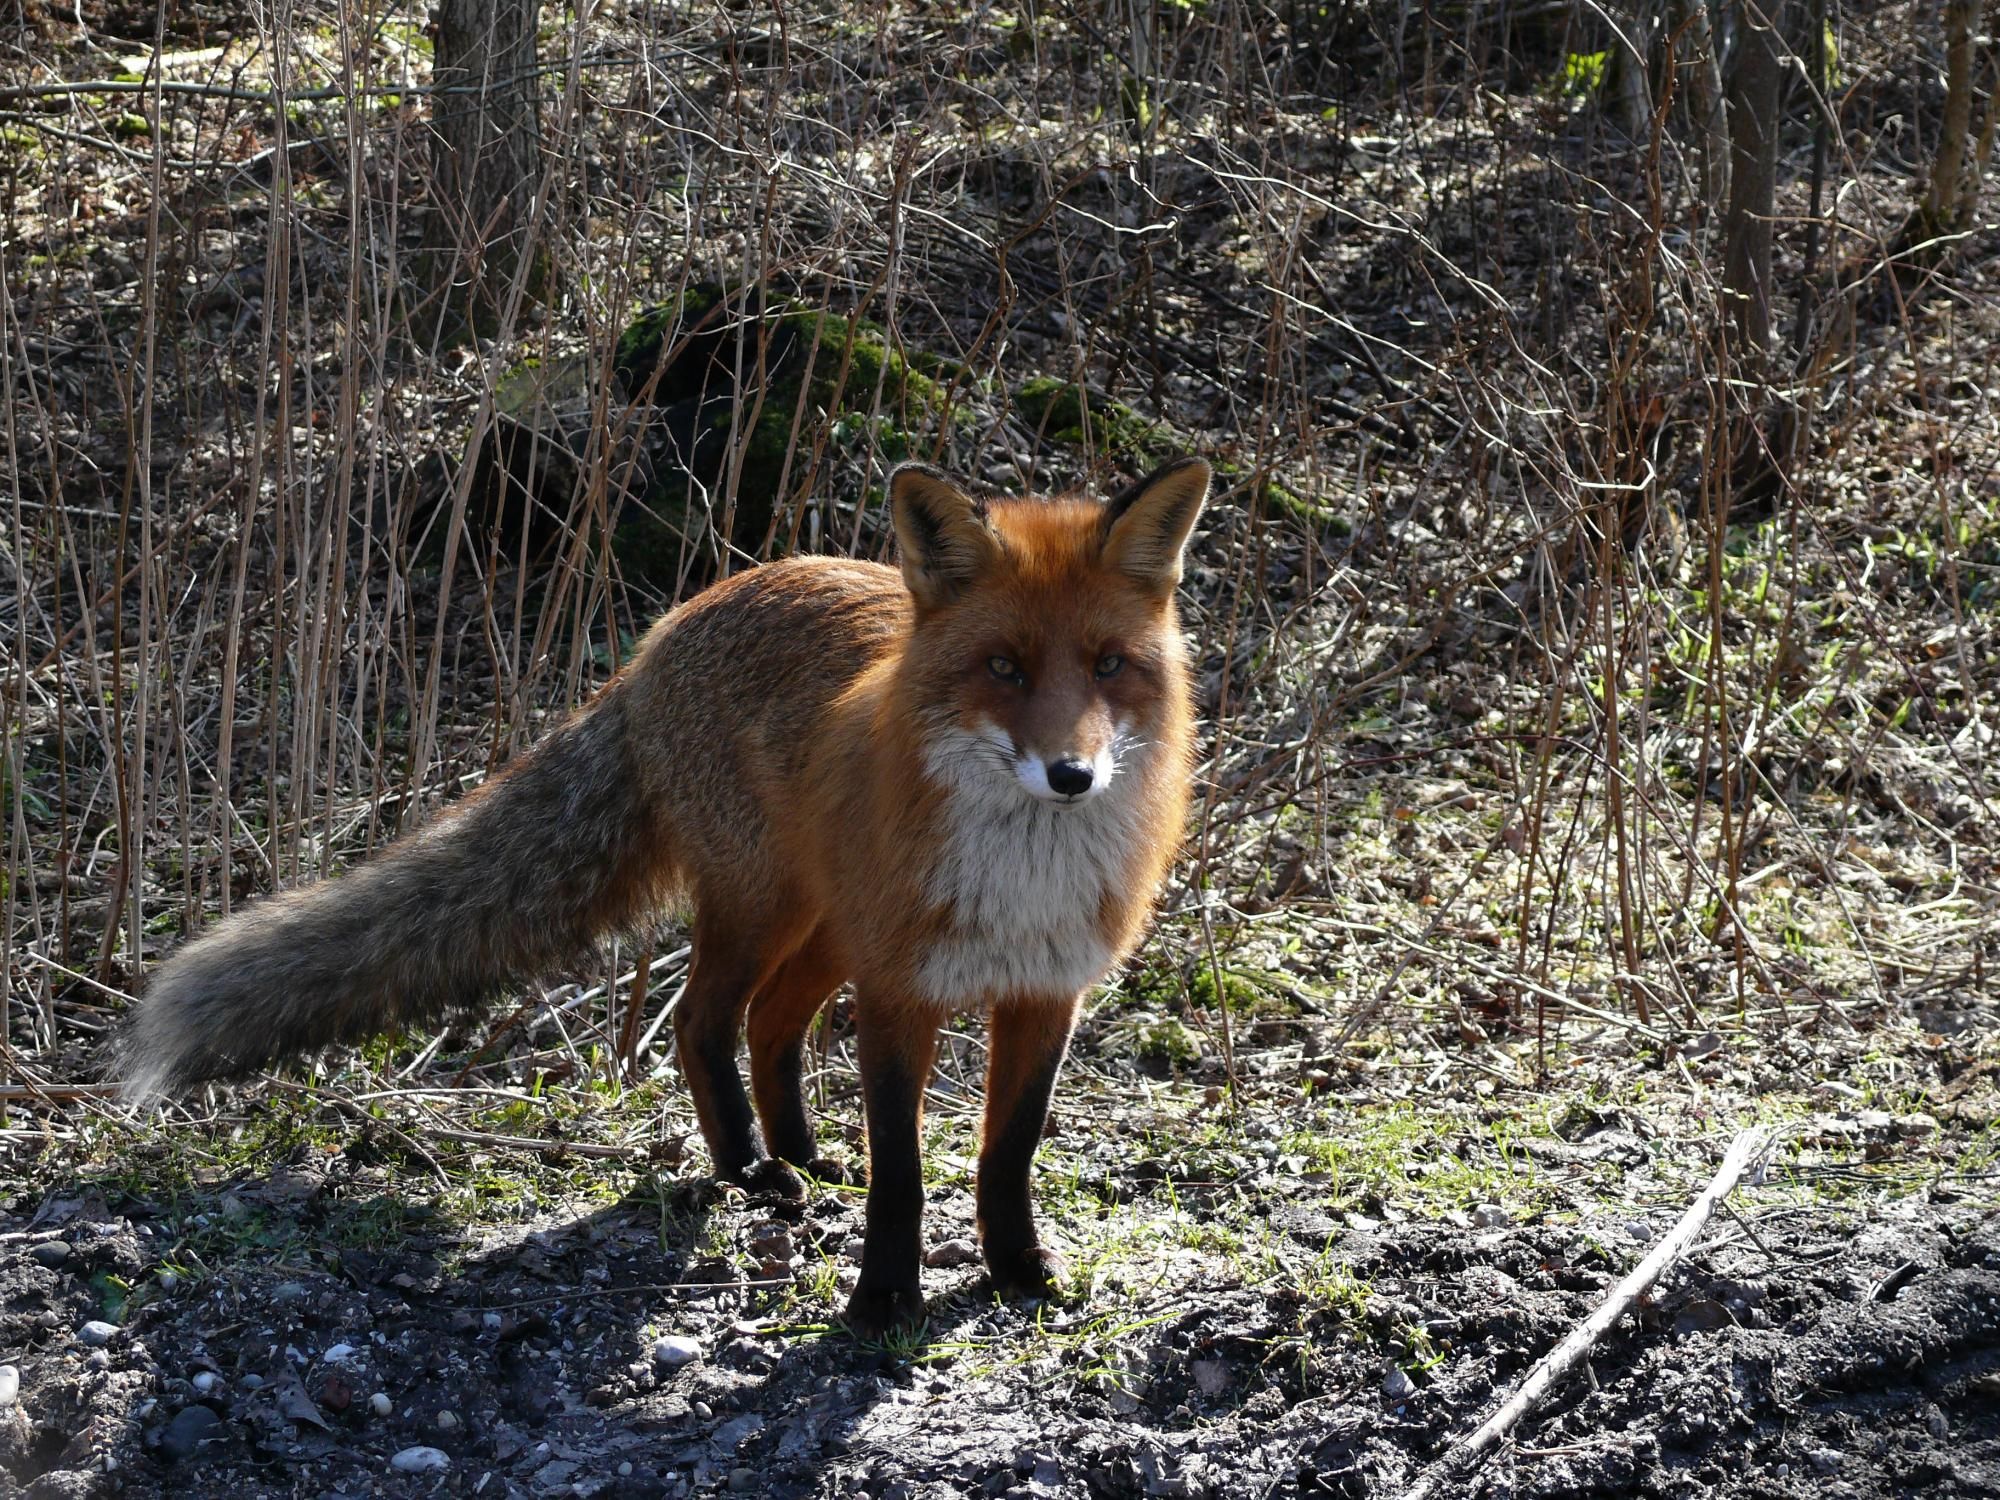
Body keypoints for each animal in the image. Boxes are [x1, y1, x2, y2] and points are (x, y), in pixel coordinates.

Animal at [121, 458, 1200, 1336]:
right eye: (1003, 668)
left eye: (1107, 665)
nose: (1071, 775)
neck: (1025, 879)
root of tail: (661, 634)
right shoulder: (900, 988)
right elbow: (900, 1171)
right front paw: (884, 1301)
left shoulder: (1044, 991)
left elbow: (1005, 1155)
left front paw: (1018, 1269)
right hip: (765, 908)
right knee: (701, 1021)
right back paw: (747, 1169)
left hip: (821, 925)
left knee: (770, 1022)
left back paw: (799, 1156)